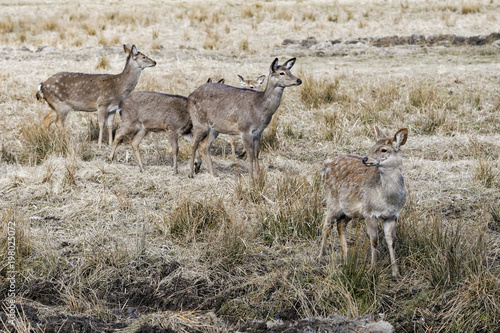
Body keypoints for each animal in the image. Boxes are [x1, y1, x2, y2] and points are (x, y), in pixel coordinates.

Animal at [318, 126, 408, 276]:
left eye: (383, 149)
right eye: (372, 146)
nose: (365, 159)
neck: (387, 199)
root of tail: (325, 168)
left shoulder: (392, 216)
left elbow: (391, 241)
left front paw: (396, 273)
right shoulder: (369, 212)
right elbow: (374, 240)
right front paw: (372, 269)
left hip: (349, 210)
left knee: (340, 225)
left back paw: (347, 258)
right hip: (332, 200)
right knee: (326, 225)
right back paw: (320, 256)